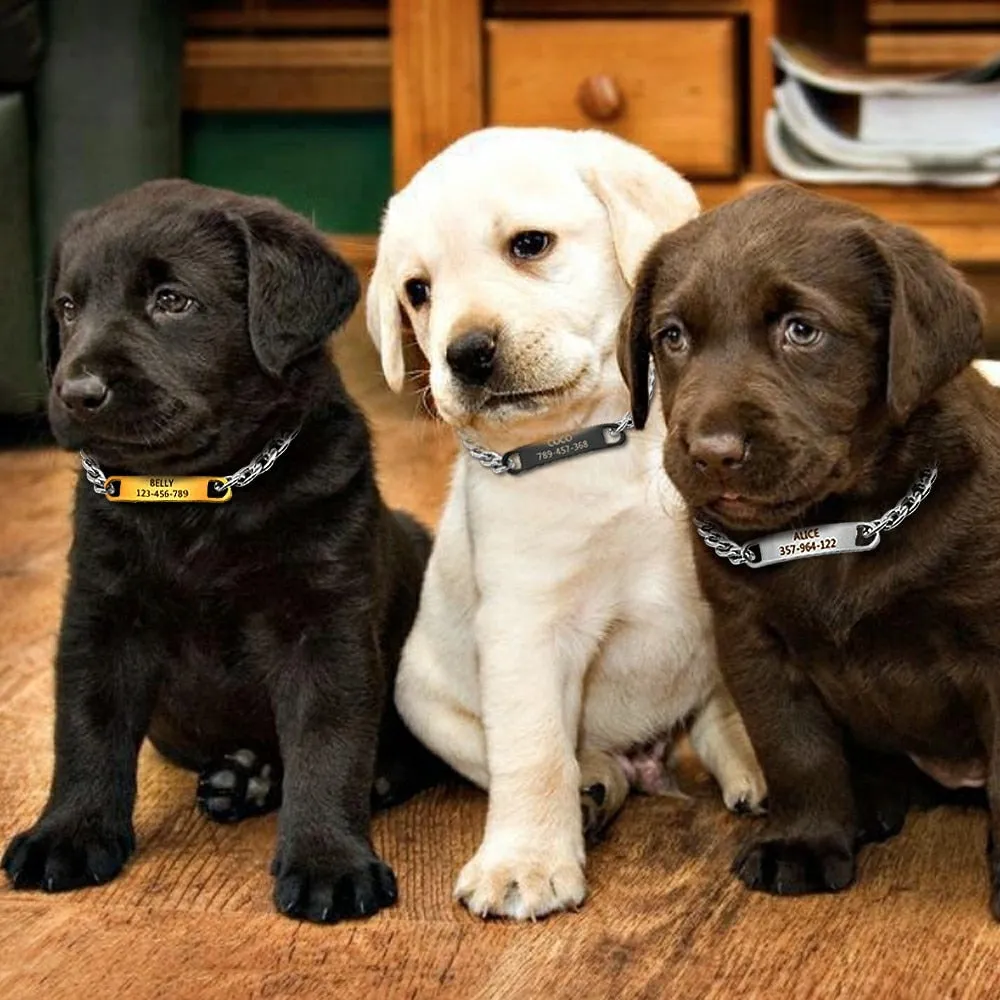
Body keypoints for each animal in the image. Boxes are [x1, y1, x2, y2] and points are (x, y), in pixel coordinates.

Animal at [1, 178, 436, 920]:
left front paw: (328, 861)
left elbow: (328, 745)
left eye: (173, 301)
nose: (76, 392)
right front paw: (69, 832)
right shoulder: (101, 616)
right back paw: (246, 777)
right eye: (68, 307)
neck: (198, 502)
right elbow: (86, 731)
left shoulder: (324, 624)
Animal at [368, 127, 764, 920]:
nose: (466, 355)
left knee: (713, 715)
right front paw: (525, 864)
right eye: (417, 290)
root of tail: (645, 754)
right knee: (539, 758)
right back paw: (595, 785)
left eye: (530, 244)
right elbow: (533, 752)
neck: (604, 442)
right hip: (422, 698)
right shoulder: (528, 626)